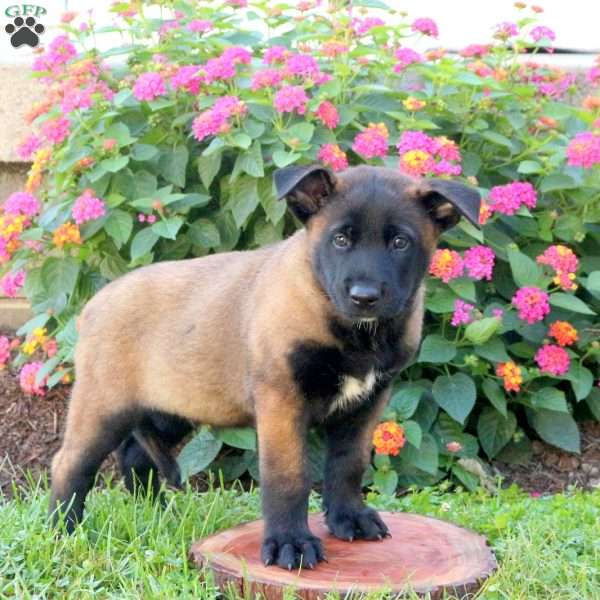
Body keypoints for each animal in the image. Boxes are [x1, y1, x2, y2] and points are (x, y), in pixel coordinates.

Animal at [49, 163, 478, 568]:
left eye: (400, 242)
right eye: (340, 239)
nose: (364, 297)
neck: (351, 330)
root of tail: (92, 305)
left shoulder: (367, 403)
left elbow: (348, 465)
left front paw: (349, 519)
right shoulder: (282, 401)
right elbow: (288, 476)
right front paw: (291, 543)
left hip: (174, 404)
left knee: (135, 456)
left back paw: (158, 514)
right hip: (105, 405)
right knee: (70, 463)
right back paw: (64, 530)